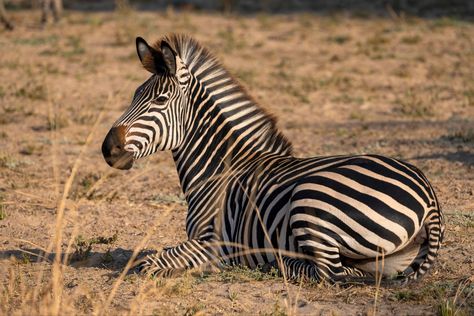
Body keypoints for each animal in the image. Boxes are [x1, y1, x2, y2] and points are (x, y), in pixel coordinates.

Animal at [101, 34, 444, 284]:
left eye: (159, 100)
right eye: (134, 96)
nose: (108, 149)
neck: (217, 168)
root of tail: (428, 195)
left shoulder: (215, 241)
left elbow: (150, 261)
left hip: (311, 200)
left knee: (334, 273)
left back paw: (276, 263)